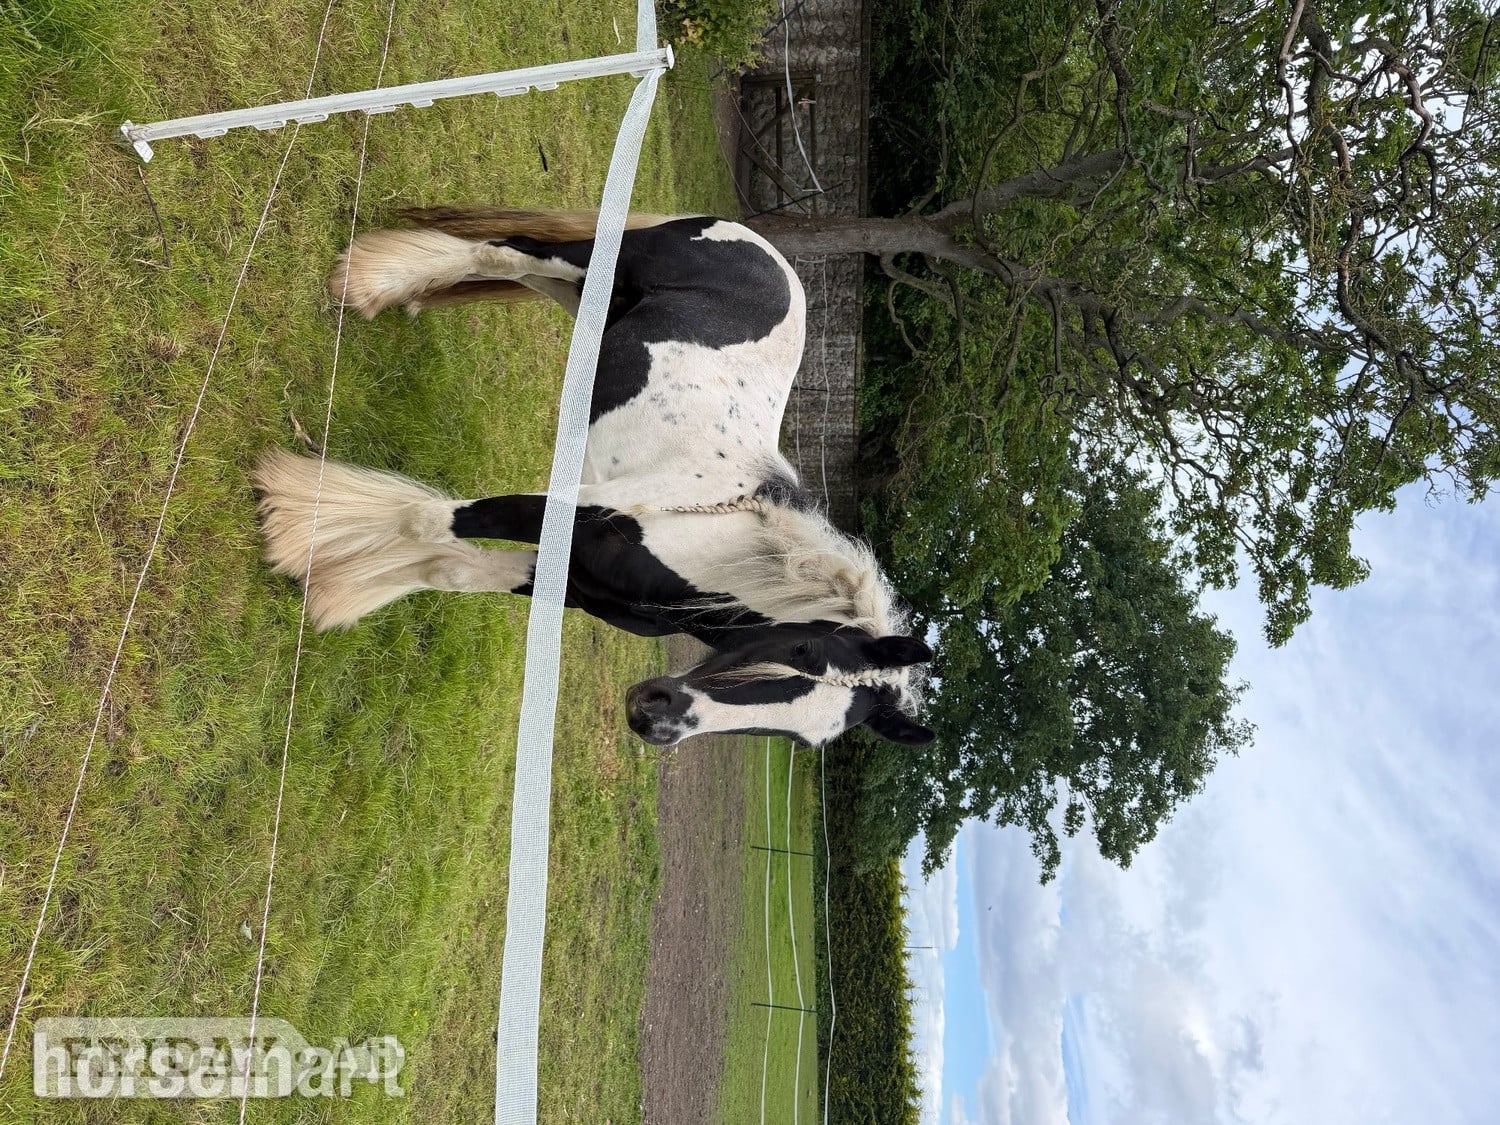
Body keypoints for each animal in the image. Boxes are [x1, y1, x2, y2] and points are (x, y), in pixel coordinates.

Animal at [252, 208, 934, 748]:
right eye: (800, 654)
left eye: (807, 740)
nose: (654, 718)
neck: (702, 537)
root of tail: (759, 245)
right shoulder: (558, 508)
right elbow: (427, 520)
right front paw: (297, 526)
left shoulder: (572, 581)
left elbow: (448, 568)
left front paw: (338, 587)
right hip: (605, 265)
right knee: (508, 250)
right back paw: (370, 284)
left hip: (592, 297)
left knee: (527, 271)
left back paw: (398, 289)